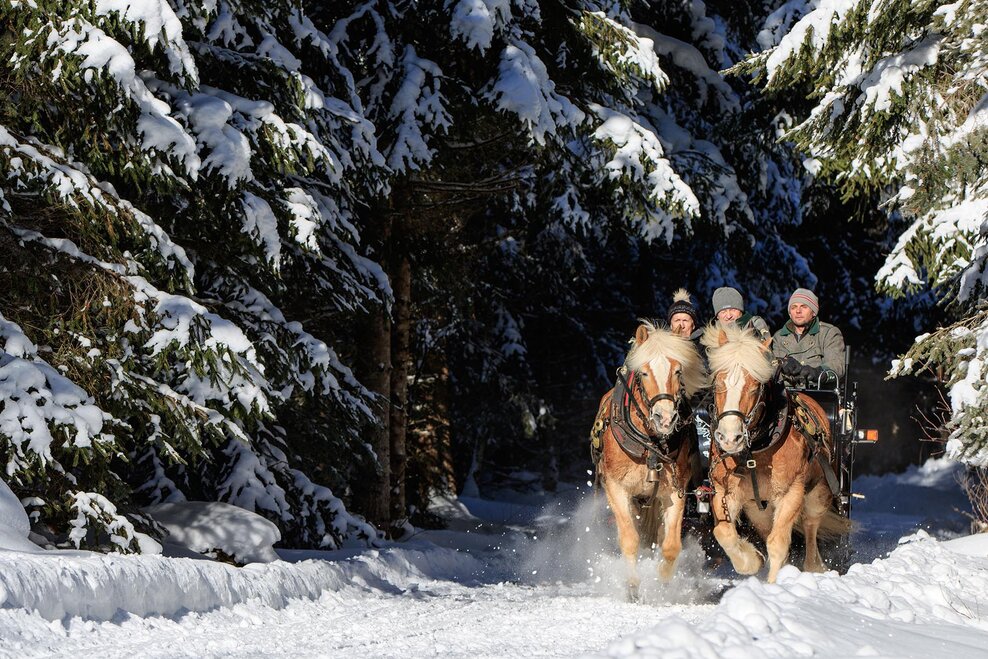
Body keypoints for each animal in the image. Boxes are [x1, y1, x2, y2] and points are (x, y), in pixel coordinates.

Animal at [591, 321, 707, 601]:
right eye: (644, 373)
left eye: (678, 371)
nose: (664, 418)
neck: (651, 444)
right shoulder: (617, 489)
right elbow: (629, 538)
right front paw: (633, 586)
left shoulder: (675, 490)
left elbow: (671, 544)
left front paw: (662, 580)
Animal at [702, 323, 849, 583]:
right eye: (718, 382)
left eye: (754, 386)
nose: (730, 438)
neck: (756, 452)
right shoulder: (724, 491)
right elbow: (723, 532)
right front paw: (752, 560)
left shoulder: (791, 493)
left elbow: (778, 543)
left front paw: (772, 585)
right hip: (758, 508)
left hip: (818, 494)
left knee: (810, 529)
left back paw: (814, 568)